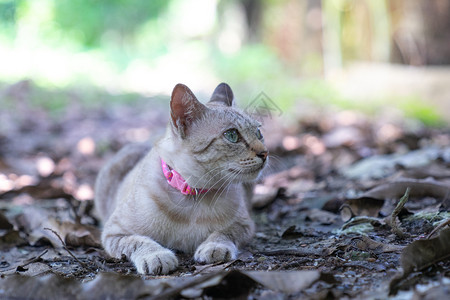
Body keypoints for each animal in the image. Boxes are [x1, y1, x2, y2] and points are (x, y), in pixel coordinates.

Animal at [92, 82, 266, 274]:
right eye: (232, 135)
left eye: (258, 132)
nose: (265, 153)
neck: (194, 195)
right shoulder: (114, 231)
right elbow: (138, 241)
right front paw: (157, 256)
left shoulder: (244, 225)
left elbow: (224, 233)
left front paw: (214, 247)